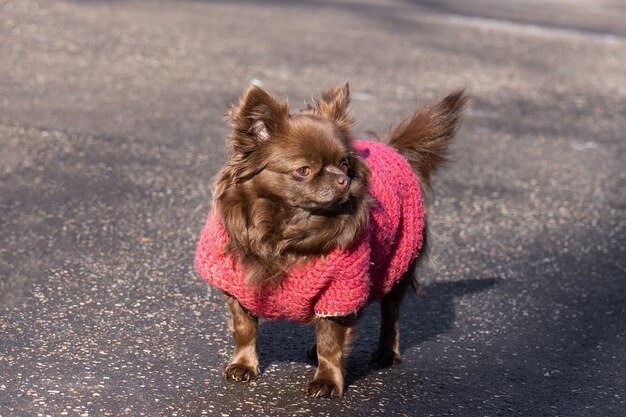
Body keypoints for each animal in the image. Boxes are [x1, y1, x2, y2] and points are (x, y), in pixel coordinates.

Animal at [205, 82, 464, 396]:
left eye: (343, 164)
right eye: (303, 170)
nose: (343, 179)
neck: (284, 229)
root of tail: (393, 148)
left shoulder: (341, 289)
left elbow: (331, 341)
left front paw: (327, 380)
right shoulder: (237, 284)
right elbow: (244, 328)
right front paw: (243, 364)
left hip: (398, 265)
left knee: (390, 315)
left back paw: (387, 352)